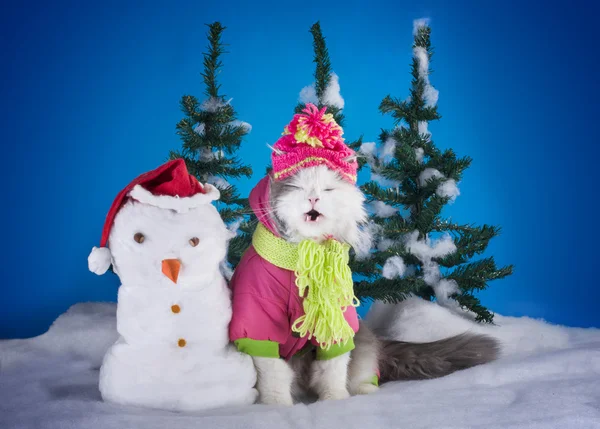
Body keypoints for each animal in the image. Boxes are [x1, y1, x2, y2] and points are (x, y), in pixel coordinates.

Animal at [246, 162, 500, 402]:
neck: (307, 258)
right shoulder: (261, 323)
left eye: (328, 189)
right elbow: (275, 375)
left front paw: (334, 401)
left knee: (362, 372)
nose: (313, 198)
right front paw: (277, 405)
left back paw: (365, 391)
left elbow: (332, 371)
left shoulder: (338, 322)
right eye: (297, 187)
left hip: (361, 340)